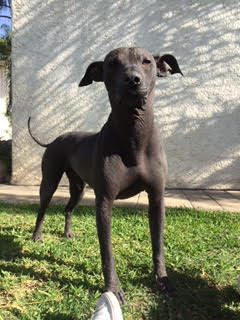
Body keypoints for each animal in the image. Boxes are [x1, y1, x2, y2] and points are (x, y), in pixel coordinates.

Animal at [28, 47, 182, 302]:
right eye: (112, 64)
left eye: (147, 61)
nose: (132, 79)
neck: (133, 135)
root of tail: (56, 138)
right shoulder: (104, 202)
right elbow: (107, 251)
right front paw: (113, 289)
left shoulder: (157, 198)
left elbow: (158, 245)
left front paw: (163, 280)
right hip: (49, 181)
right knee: (42, 209)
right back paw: (36, 236)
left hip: (78, 189)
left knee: (68, 209)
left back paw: (67, 233)